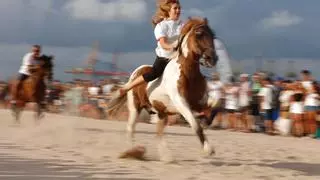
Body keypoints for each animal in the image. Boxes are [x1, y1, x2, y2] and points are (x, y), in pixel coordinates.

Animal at [109, 17, 219, 160]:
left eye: (213, 35)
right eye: (199, 34)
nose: (213, 58)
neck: (189, 74)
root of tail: (136, 72)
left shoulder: (198, 102)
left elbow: (213, 106)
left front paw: (208, 121)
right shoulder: (181, 103)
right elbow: (195, 125)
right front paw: (208, 150)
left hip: (162, 113)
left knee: (158, 133)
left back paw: (166, 157)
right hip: (135, 108)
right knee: (131, 128)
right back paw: (131, 152)